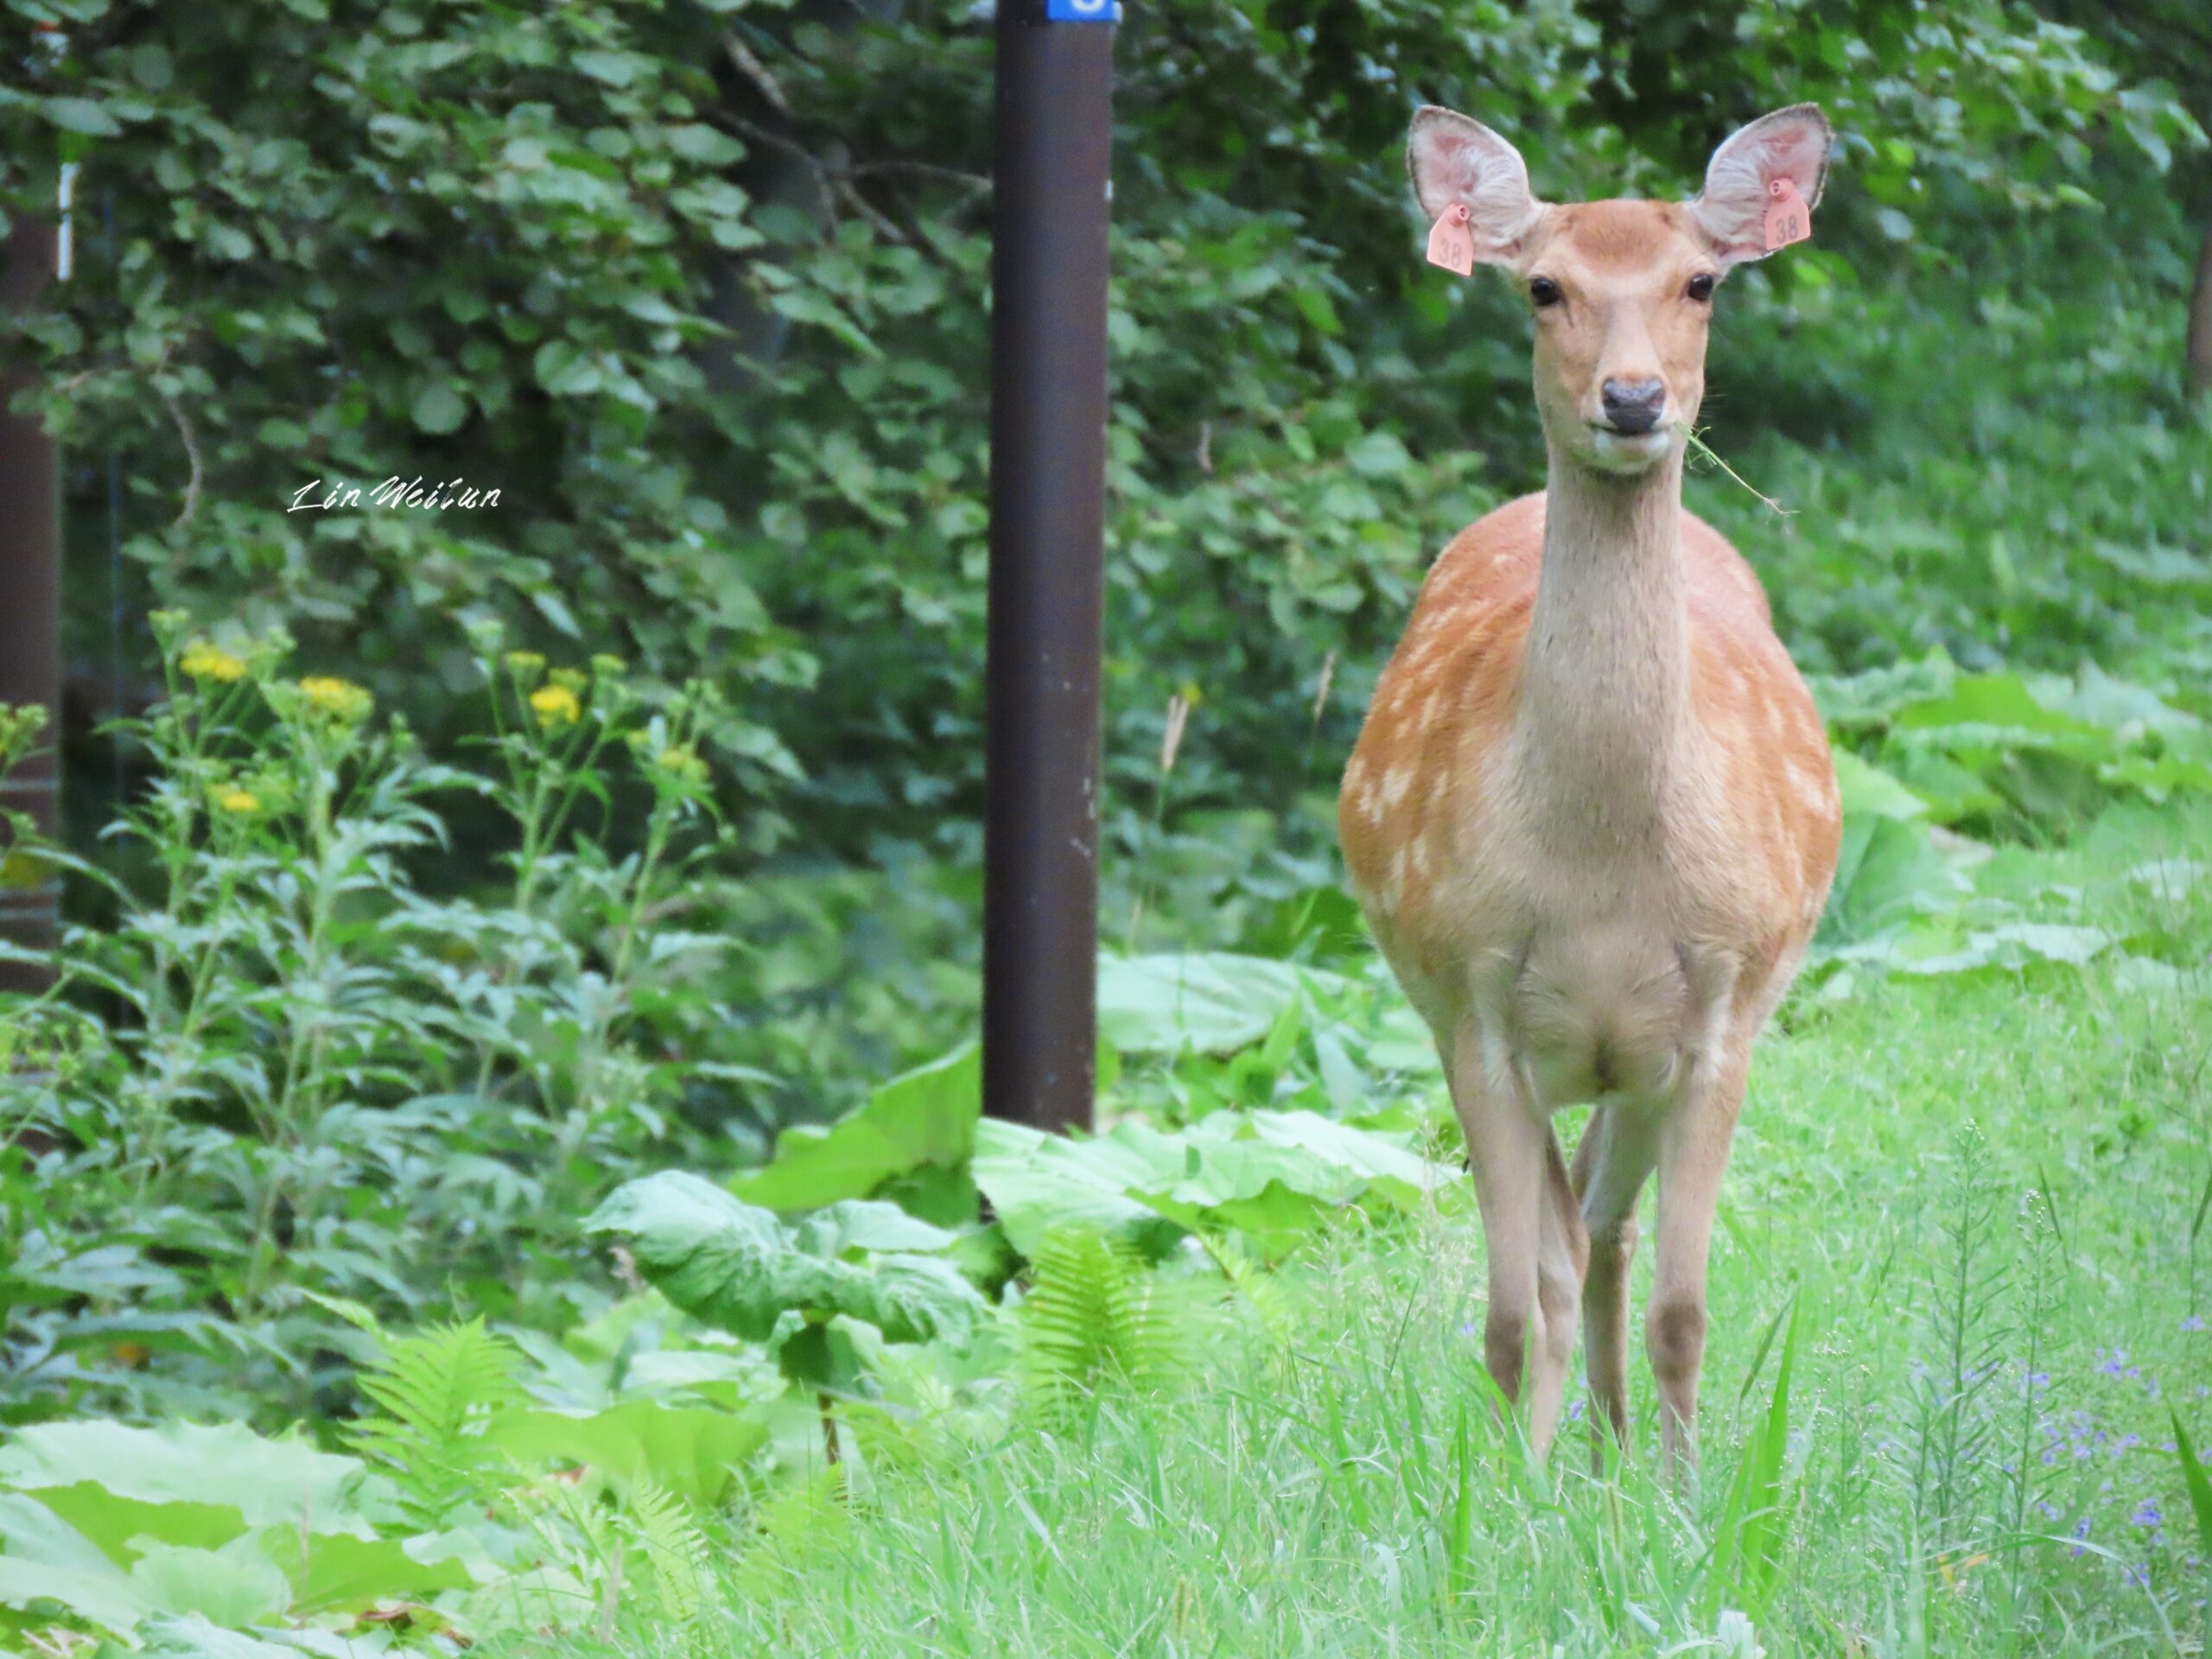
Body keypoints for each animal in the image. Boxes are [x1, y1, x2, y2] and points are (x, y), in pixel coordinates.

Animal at [1338, 103, 1843, 1474]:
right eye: (1543, 286)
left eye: (1702, 280)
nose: (1631, 397)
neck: (1607, 866)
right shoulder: (1472, 1003)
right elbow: (1518, 1311)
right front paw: (1514, 1496)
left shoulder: (1725, 1005)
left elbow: (1684, 1306)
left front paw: (1685, 1497)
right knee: (1569, 1249)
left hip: (1654, 1053)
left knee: (1608, 1233)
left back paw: (1624, 1461)